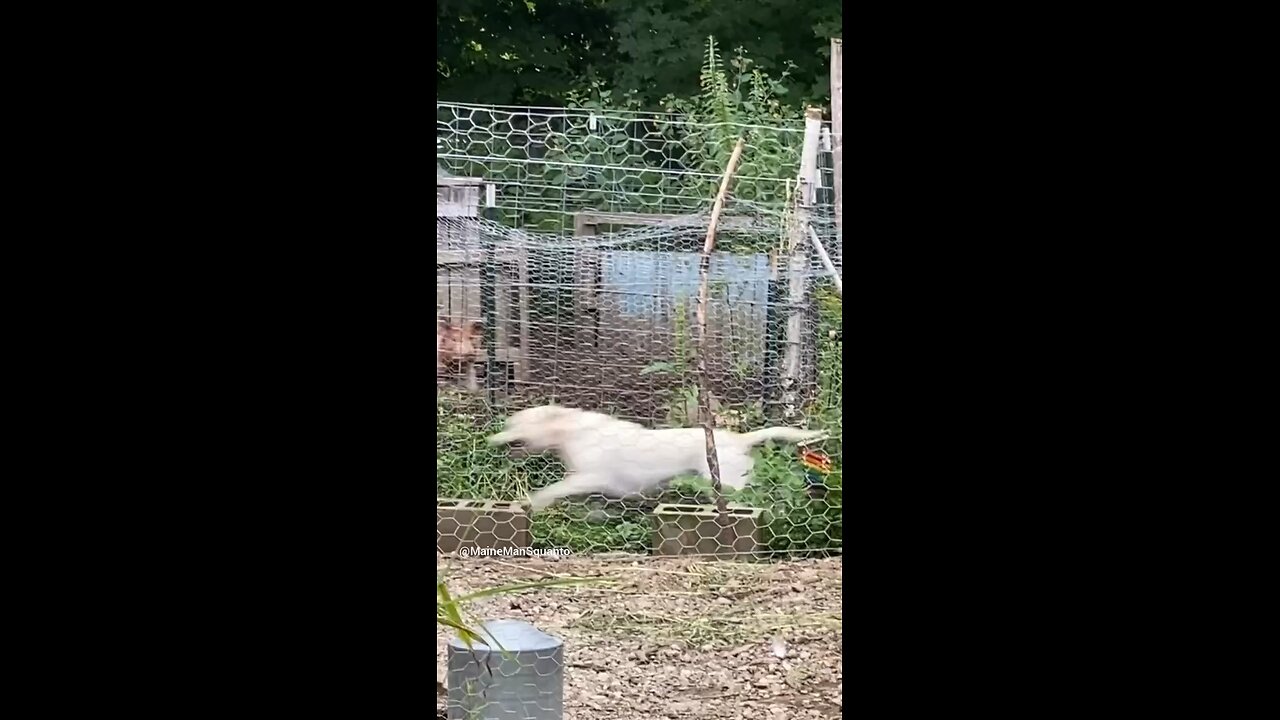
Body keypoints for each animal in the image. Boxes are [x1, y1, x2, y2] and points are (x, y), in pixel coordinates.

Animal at [483, 404, 824, 509]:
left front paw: (532, 502)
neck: (571, 430)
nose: (490, 439)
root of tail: (739, 438)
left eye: (513, 425)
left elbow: (552, 490)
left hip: (727, 484)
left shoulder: (589, 476)